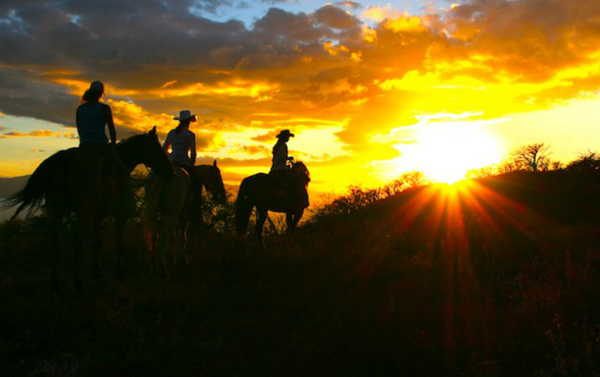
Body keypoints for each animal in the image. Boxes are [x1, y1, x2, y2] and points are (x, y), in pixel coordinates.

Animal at [0, 127, 173, 290]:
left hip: (55, 210)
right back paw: (77, 282)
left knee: (55, 241)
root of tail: (66, 158)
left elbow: (97, 242)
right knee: (76, 241)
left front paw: (97, 271)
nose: (170, 171)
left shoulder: (97, 216)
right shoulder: (119, 216)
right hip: (82, 211)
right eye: (158, 148)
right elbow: (118, 242)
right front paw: (119, 273)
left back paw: (55, 282)